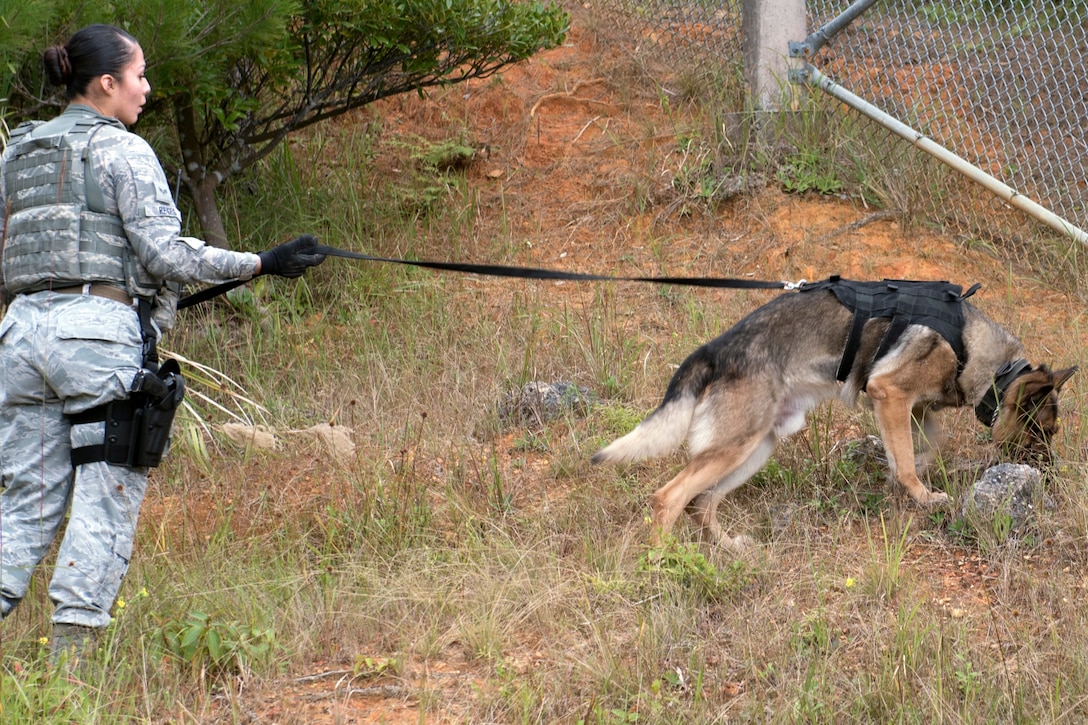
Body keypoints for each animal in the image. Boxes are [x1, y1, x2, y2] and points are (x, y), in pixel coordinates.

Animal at [596, 277, 1079, 548]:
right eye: (1044, 432)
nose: (1051, 475)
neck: (985, 358)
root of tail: (714, 351)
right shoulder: (890, 394)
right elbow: (908, 462)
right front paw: (921, 495)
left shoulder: (913, 408)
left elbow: (927, 448)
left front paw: (909, 472)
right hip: (736, 446)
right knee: (669, 498)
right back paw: (666, 561)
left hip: (756, 448)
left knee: (701, 503)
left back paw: (730, 548)